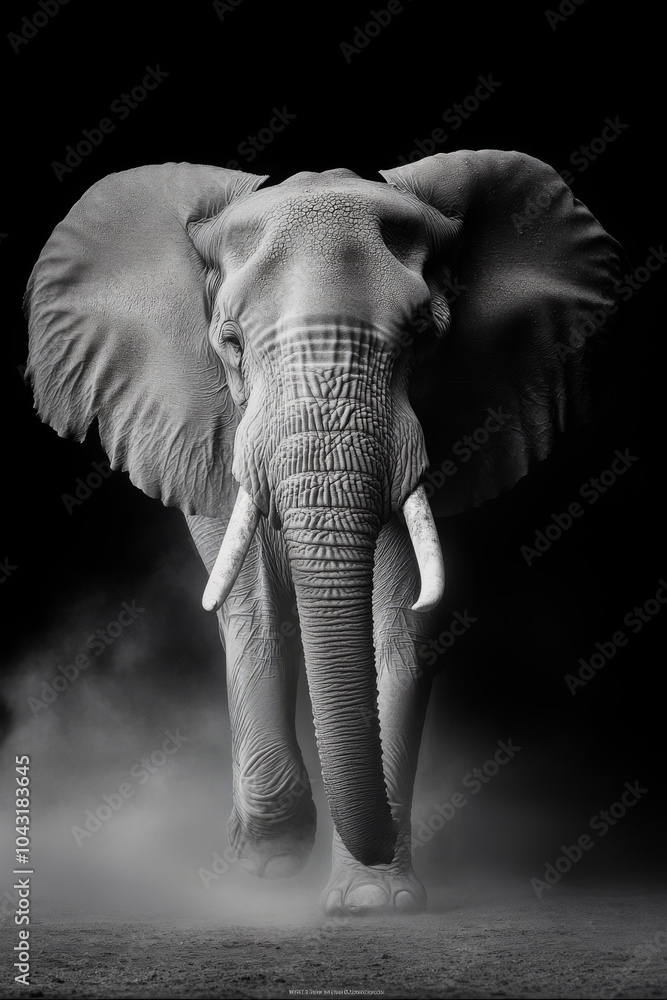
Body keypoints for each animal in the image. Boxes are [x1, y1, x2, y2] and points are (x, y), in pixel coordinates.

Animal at [25, 150, 621, 915]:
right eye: (230, 342)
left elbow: (398, 626)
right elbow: (252, 606)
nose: (370, 844)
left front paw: (370, 901)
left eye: (422, 338)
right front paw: (268, 854)